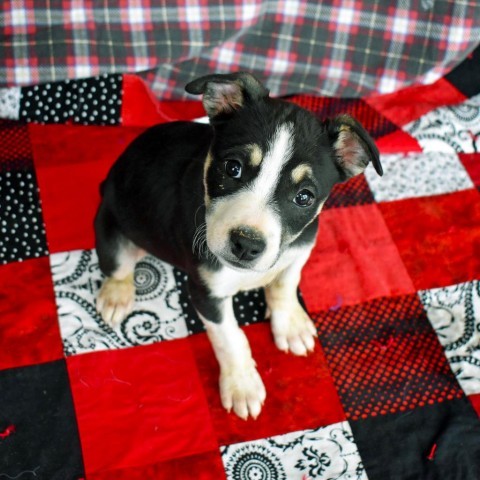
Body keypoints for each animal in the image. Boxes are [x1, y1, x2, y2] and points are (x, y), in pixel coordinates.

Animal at [95, 71, 384, 420]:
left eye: (304, 196)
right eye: (233, 168)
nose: (246, 245)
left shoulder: (299, 251)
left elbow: (285, 285)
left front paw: (290, 324)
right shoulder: (205, 292)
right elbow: (230, 338)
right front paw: (241, 385)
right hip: (113, 225)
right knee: (118, 266)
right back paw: (116, 295)